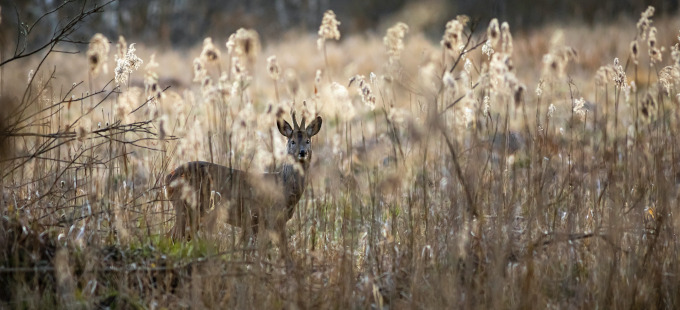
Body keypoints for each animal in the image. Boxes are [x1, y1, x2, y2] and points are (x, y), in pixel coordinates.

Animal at [166, 112, 322, 248]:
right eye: (292, 141)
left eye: (308, 141)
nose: (302, 152)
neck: (283, 187)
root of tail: (168, 179)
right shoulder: (262, 216)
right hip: (187, 207)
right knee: (172, 237)